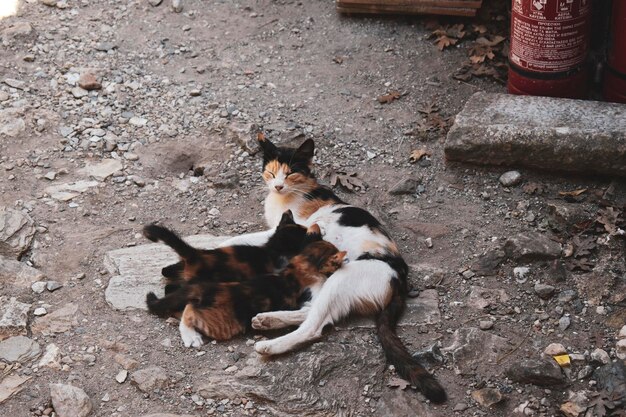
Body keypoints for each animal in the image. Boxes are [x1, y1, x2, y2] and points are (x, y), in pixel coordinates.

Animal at [200, 135, 444, 402]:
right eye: (272, 172)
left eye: (291, 173)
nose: (278, 186)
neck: (289, 196)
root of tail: (400, 278)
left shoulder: (292, 229)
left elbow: (241, 238)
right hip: (322, 280)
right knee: (312, 310)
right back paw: (267, 320)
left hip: (342, 278)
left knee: (314, 325)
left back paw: (269, 345)